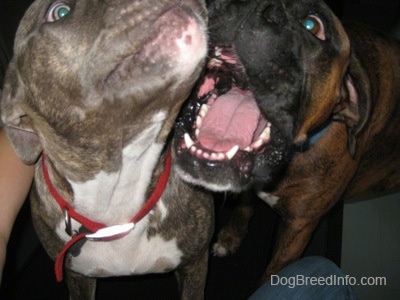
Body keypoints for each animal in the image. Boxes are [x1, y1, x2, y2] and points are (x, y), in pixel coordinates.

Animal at [173, 0, 400, 284]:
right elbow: (244, 206)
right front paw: (230, 237)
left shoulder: (297, 230)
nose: (256, 8)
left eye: (312, 25)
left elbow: (272, 273)